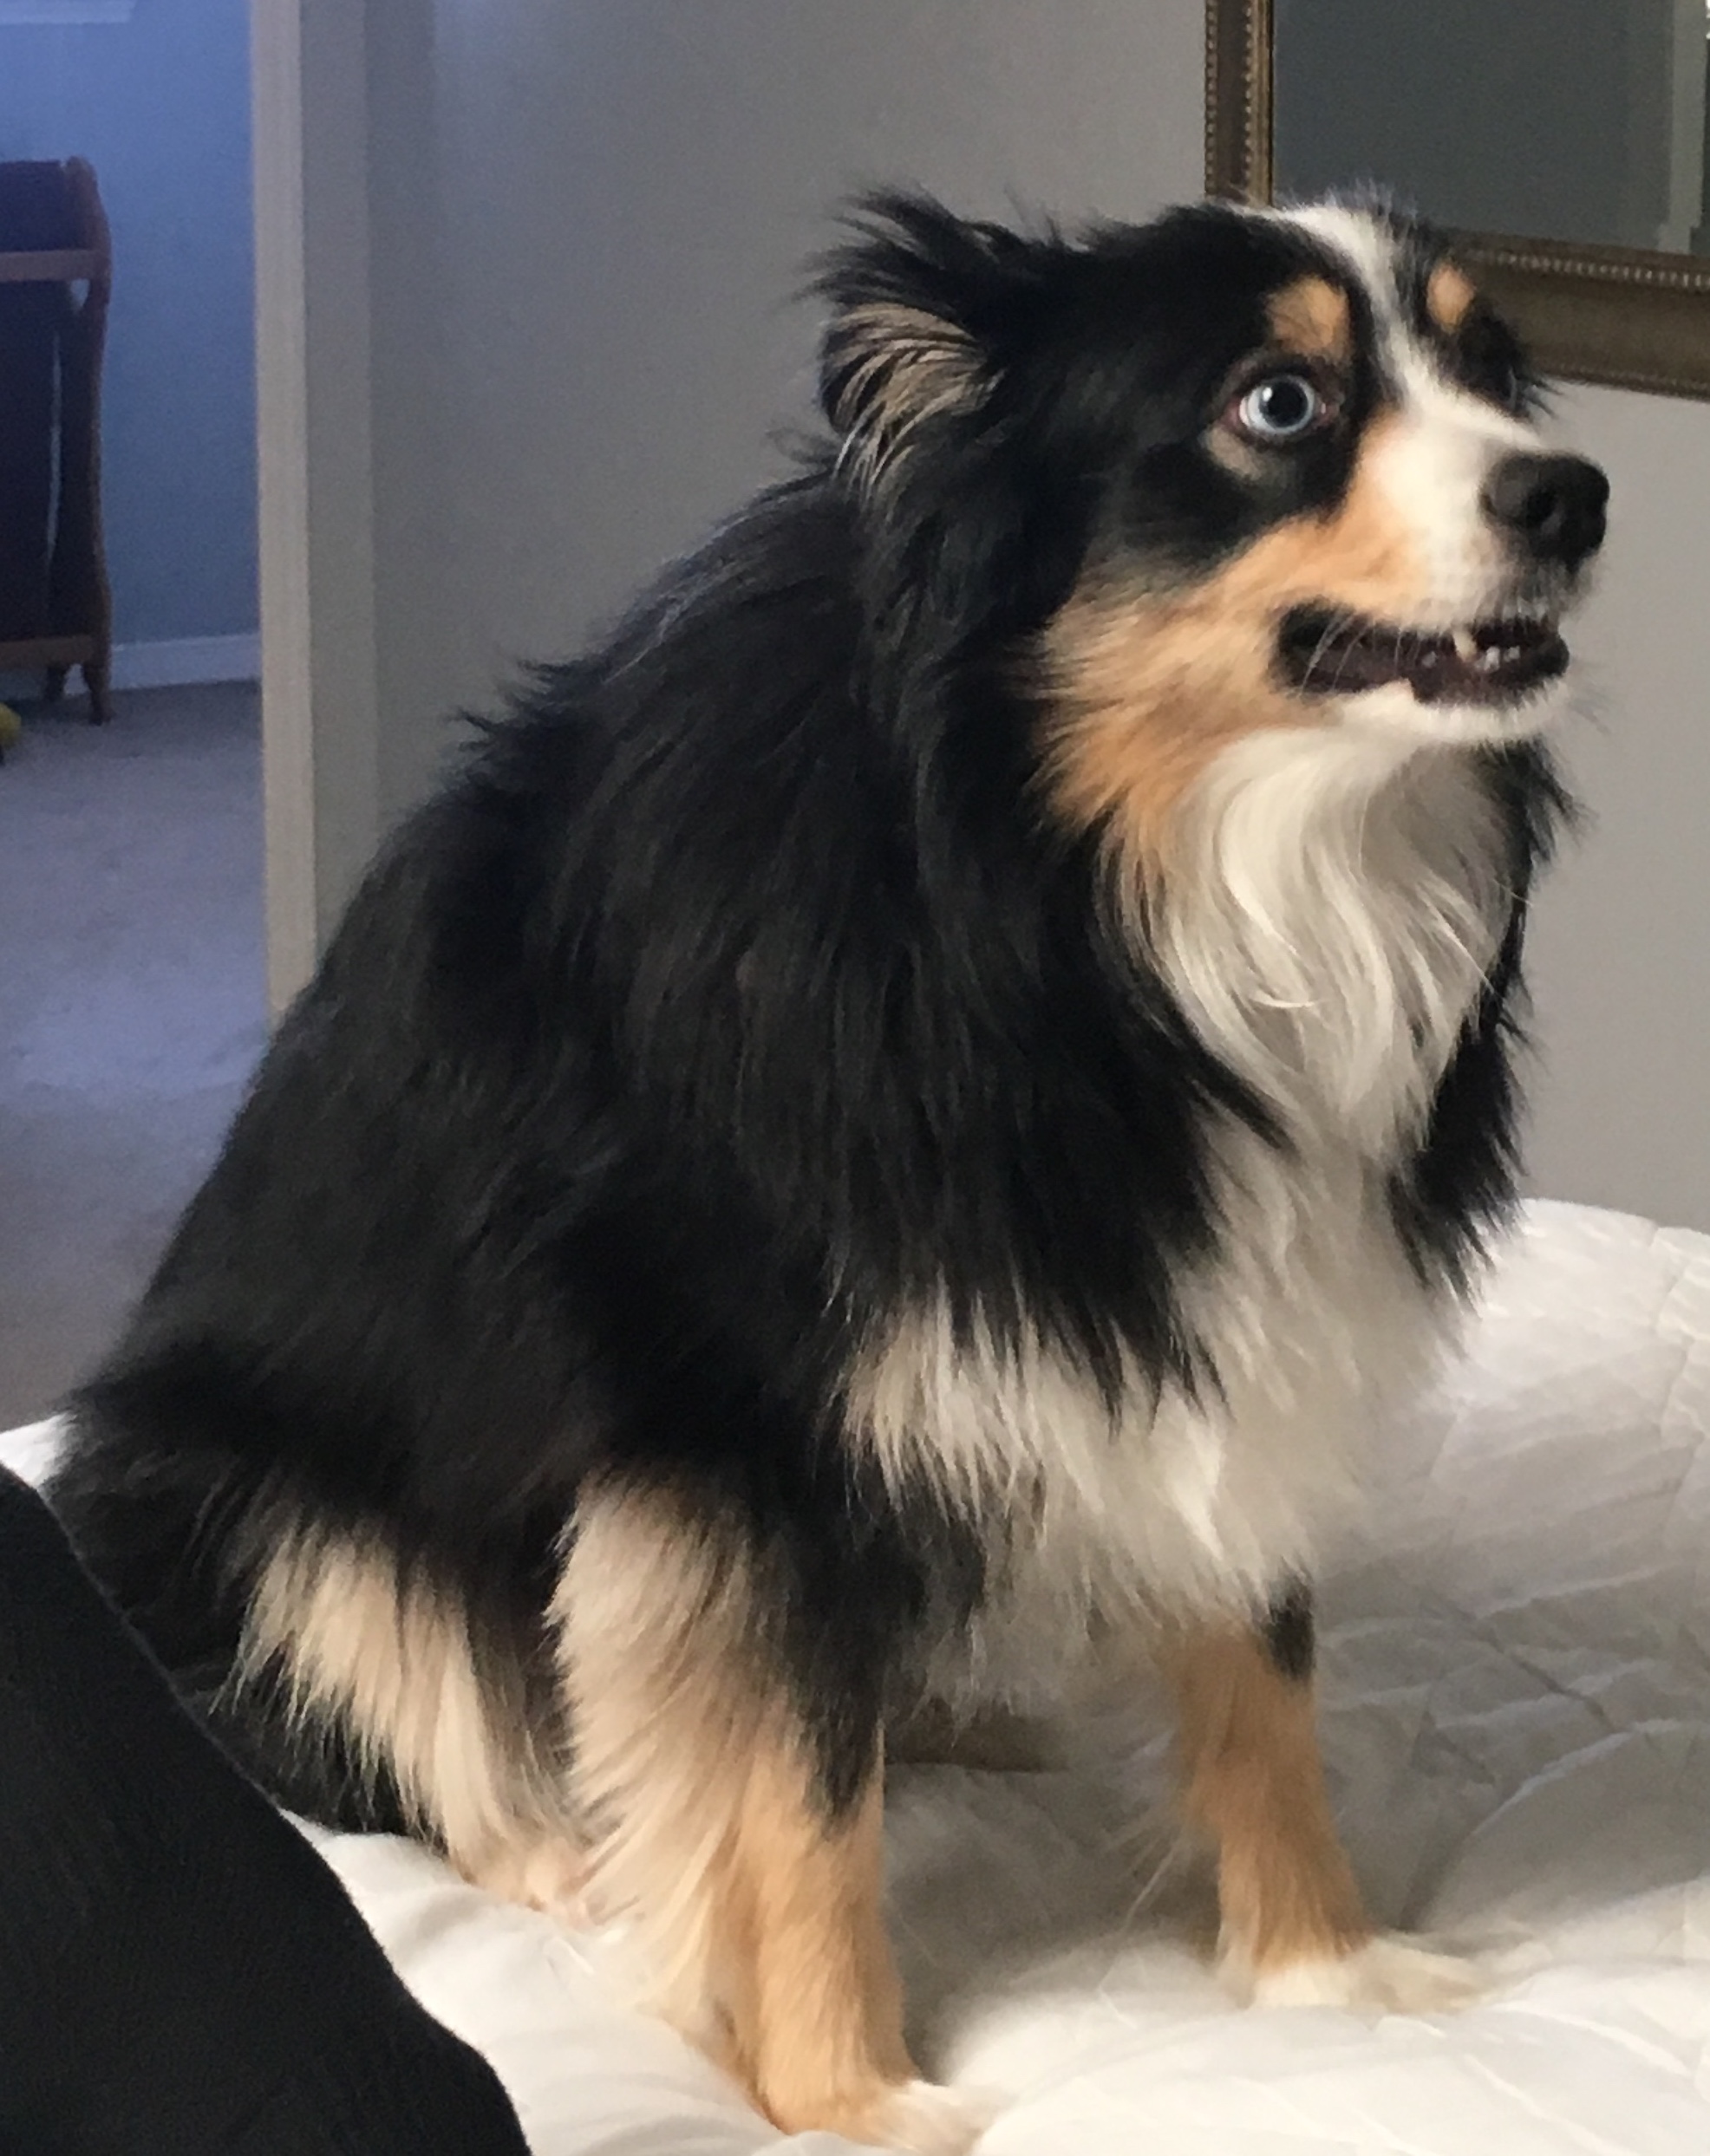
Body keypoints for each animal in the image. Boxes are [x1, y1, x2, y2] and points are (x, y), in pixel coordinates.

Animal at [50, 191, 1605, 2152]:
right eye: (1278, 403)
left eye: (1490, 365)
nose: (1574, 495)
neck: (1085, 882)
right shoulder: (740, 1445)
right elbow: (793, 1802)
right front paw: (845, 2093)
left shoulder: (1237, 1308)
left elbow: (1264, 1674)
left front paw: (1321, 1973)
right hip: (250, 1503)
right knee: (396, 1701)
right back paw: (568, 1856)